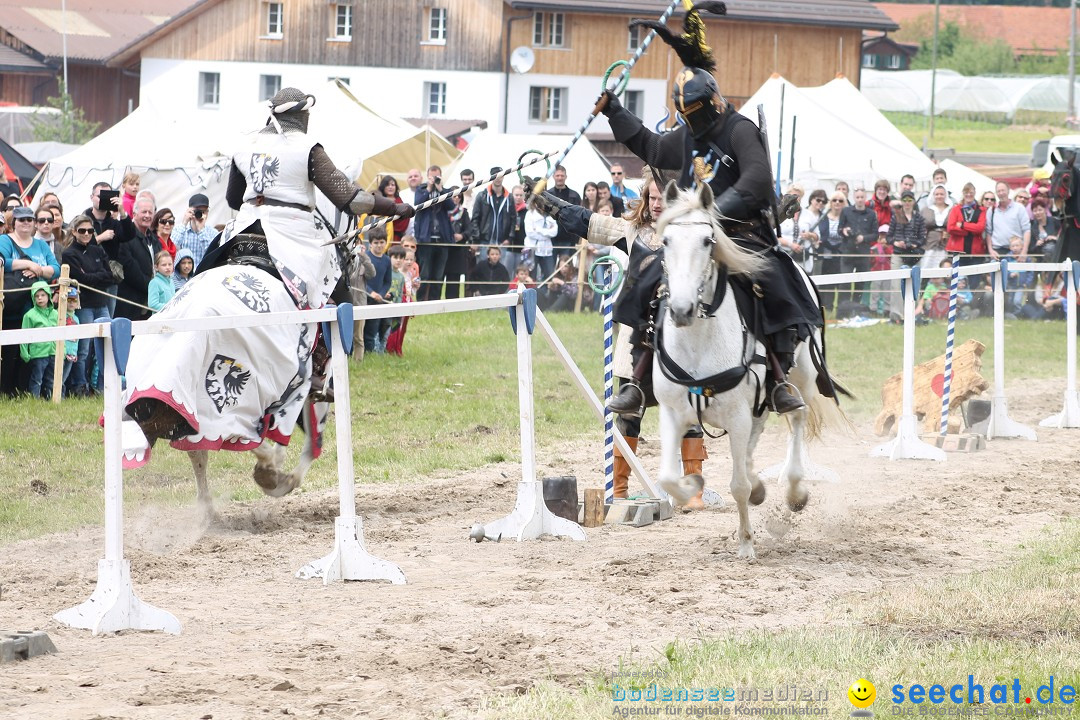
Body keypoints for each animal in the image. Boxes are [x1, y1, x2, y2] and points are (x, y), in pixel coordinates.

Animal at [648, 180, 842, 557]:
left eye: (707, 240)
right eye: (666, 241)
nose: (681, 309)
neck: (699, 341)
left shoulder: (737, 415)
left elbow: (737, 485)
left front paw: (746, 544)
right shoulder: (673, 412)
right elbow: (667, 477)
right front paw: (692, 484)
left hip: (803, 378)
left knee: (797, 417)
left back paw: (794, 494)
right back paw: (760, 486)